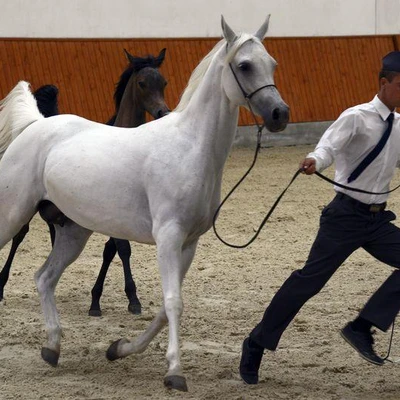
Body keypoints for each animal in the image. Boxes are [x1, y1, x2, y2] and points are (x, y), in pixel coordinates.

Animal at [0, 15, 288, 390]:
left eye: (272, 64)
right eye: (244, 65)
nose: (280, 113)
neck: (190, 148)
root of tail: (35, 125)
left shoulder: (188, 244)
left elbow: (165, 308)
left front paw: (119, 348)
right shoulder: (168, 237)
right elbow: (174, 303)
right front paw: (175, 371)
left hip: (73, 232)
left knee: (44, 277)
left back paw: (52, 347)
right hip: (12, 216)